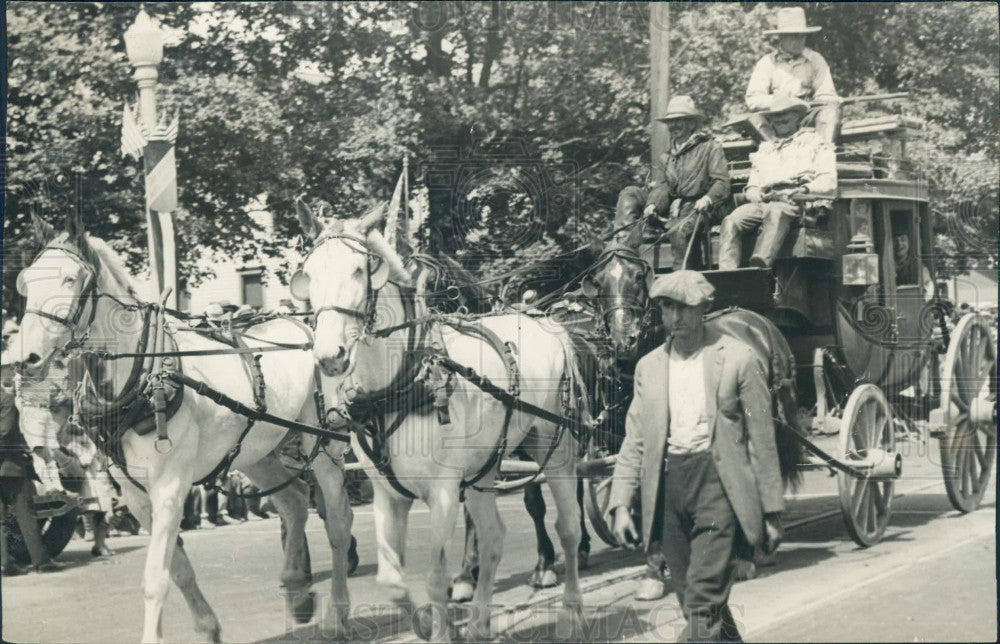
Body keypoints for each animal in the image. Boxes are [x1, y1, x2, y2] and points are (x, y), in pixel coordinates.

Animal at [14, 214, 356, 640]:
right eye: (25, 282)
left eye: (70, 280)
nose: (26, 359)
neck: (141, 374)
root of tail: (307, 328)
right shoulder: (137, 495)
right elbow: (177, 570)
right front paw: (208, 627)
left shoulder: (170, 486)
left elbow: (155, 579)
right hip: (256, 451)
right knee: (294, 501)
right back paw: (297, 589)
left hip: (322, 442)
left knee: (338, 521)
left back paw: (337, 613)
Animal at [292, 205, 584, 640]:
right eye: (308, 274)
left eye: (360, 270)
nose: (330, 356)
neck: (400, 383)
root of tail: (542, 320)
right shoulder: (388, 494)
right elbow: (392, 582)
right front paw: (428, 624)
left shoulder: (444, 491)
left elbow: (434, 577)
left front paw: (443, 630)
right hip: (484, 466)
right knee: (494, 536)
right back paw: (480, 622)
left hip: (556, 444)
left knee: (569, 527)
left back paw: (571, 613)